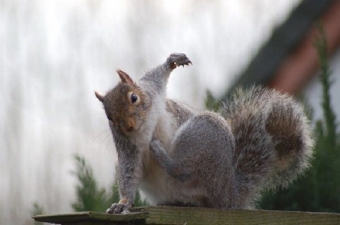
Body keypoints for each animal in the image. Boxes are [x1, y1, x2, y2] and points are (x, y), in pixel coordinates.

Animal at [95, 53, 314, 214]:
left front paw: (173, 60)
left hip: (202, 135)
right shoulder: (128, 148)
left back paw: (161, 153)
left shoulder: (152, 90)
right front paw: (123, 203)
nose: (129, 126)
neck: (145, 126)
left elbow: (156, 75)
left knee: (184, 171)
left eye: (134, 97)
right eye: (109, 117)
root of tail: (229, 193)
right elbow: (128, 173)